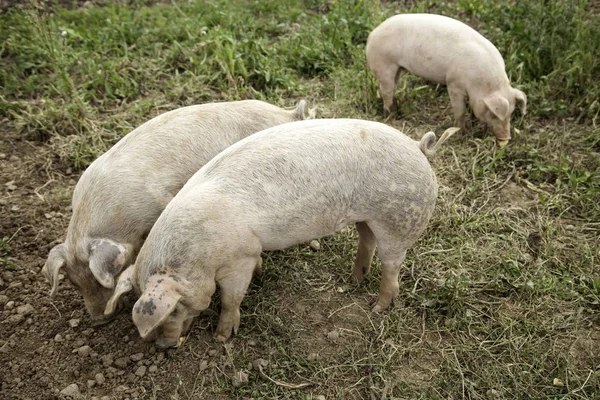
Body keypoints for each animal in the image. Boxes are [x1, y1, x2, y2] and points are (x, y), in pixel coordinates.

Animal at [103, 119, 460, 346]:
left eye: (175, 308)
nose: (164, 347)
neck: (196, 255)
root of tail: (419, 147)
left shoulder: (240, 256)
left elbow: (232, 298)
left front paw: (222, 337)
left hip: (400, 218)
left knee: (392, 267)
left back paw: (376, 308)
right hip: (368, 217)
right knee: (366, 240)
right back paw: (354, 280)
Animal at [366, 14, 524, 142]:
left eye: (511, 113)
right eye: (494, 114)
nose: (506, 137)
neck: (481, 84)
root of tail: (372, 34)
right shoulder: (454, 83)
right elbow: (459, 109)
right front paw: (461, 133)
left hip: (398, 68)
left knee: (392, 87)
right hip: (385, 64)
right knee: (386, 90)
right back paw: (390, 116)